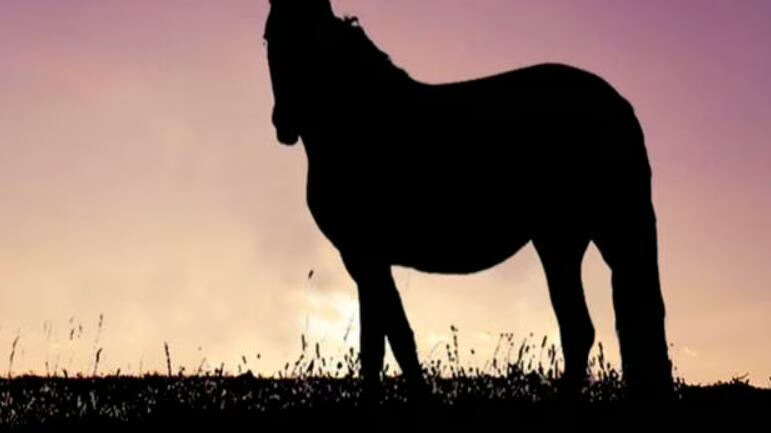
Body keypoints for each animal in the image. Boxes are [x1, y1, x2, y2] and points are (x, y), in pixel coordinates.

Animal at [264, 0, 674, 400]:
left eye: (315, 40)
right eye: (269, 37)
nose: (284, 124)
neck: (358, 119)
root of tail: (617, 104)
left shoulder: (364, 255)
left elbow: (393, 340)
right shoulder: (365, 258)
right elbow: (378, 345)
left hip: (583, 236)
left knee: (586, 327)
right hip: (580, 239)